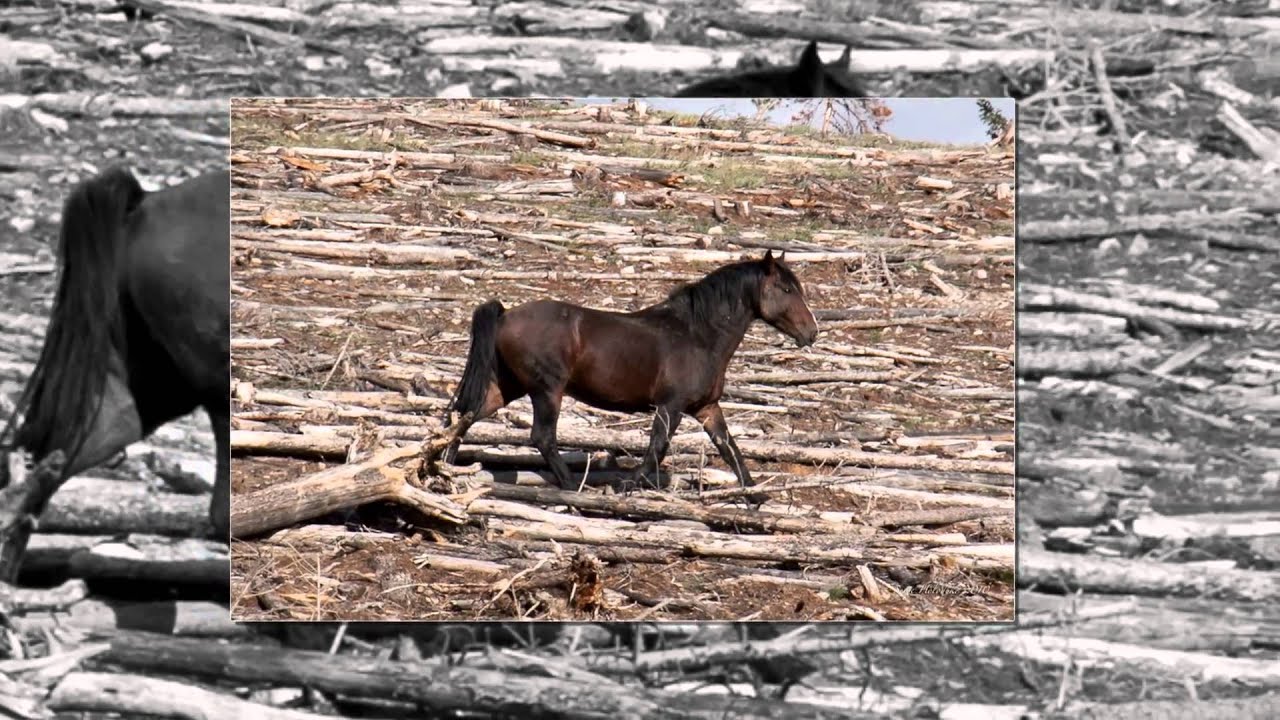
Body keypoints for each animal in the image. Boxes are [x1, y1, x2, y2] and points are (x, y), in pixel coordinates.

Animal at [442, 251, 818, 498]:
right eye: (786, 289)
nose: (812, 332)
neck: (698, 335)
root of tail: (505, 314)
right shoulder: (670, 406)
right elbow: (656, 449)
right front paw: (627, 485)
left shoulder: (707, 408)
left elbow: (730, 449)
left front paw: (755, 495)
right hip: (547, 390)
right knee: (542, 437)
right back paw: (573, 487)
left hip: (506, 387)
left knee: (464, 417)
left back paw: (443, 469)